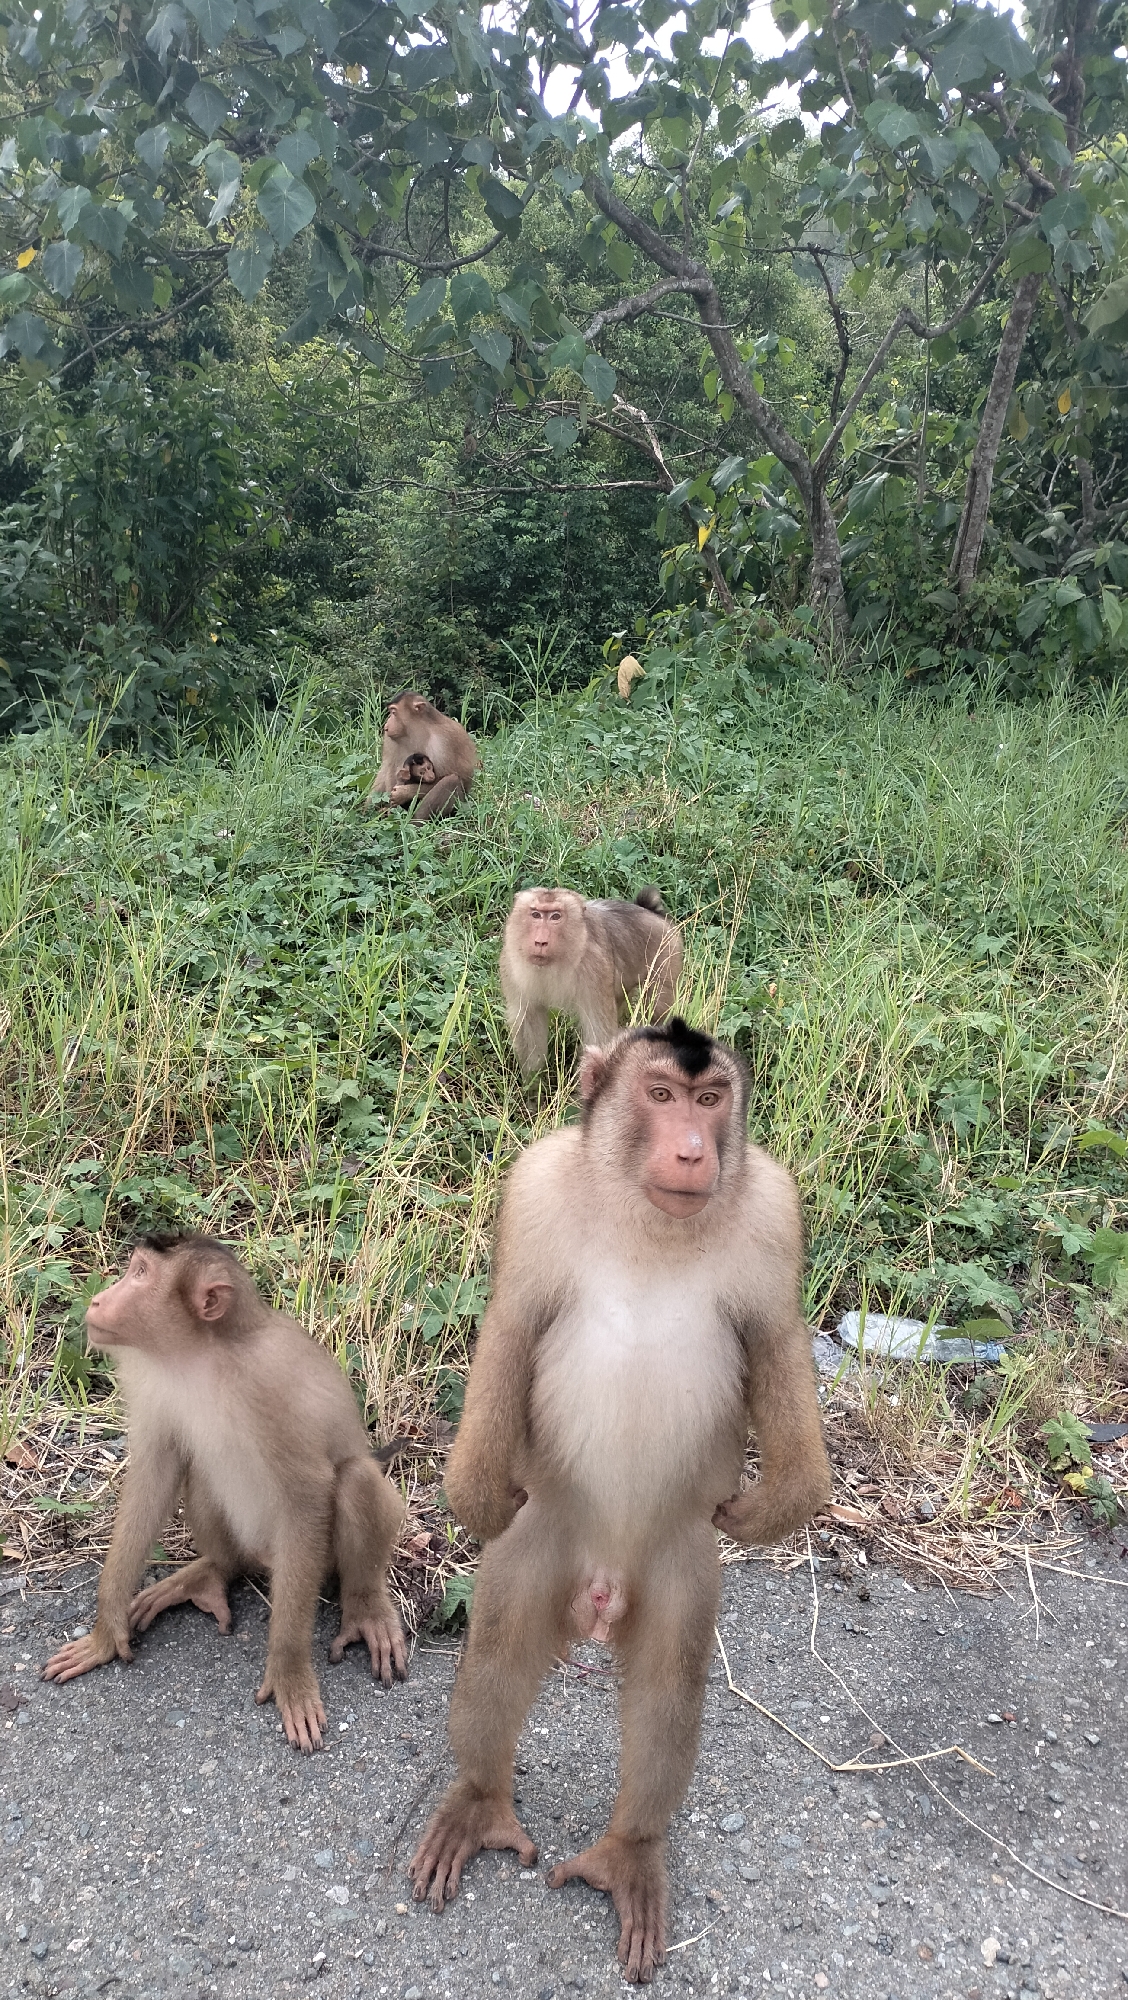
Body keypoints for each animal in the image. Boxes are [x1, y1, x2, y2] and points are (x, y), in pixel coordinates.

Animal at [42, 1232, 408, 1752]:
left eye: (140, 1275)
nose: (98, 1300)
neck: (202, 1354)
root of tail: (260, 1559)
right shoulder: (156, 1381)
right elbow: (157, 1471)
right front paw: (104, 1632)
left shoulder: (272, 1385)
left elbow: (308, 1493)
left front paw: (290, 1671)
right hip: (244, 1546)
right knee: (203, 1477)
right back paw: (212, 1571)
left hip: (312, 1559)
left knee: (355, 1479)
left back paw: (365, 1607)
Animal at [366, 692, 478, 821]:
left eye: (393, 712)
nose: (387, 724)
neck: (418, 729)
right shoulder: (390, 737)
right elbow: (389, 766)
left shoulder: (446, 739)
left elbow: (461, 778)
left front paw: (403, 793)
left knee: (451, 780)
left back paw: (416, 822)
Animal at [408, 1018, 831, 1982]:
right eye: (662, 1096)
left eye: (712, 1099)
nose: (693, 1149)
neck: (647, 1220)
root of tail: (600, 1592)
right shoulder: (533, 1190)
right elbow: (513, 1321)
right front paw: (475, 1492)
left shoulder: (774, 1213)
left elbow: (777, 1342)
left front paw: (782, 1503)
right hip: (545, 1542)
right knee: (496, 1650)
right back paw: (480, 1799)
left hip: (677, 1565)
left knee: (670, 1685)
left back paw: (630, 1847)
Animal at [499, 886, 683, 1076]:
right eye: (535, 914)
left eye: (555, 916)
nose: (540, 942)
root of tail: (651, 912)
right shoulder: (510, 964)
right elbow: (529, 1022)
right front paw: (534, 1081)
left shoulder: (594, 966)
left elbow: (598, 1032)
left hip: (668, 952)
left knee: (658, 1008)